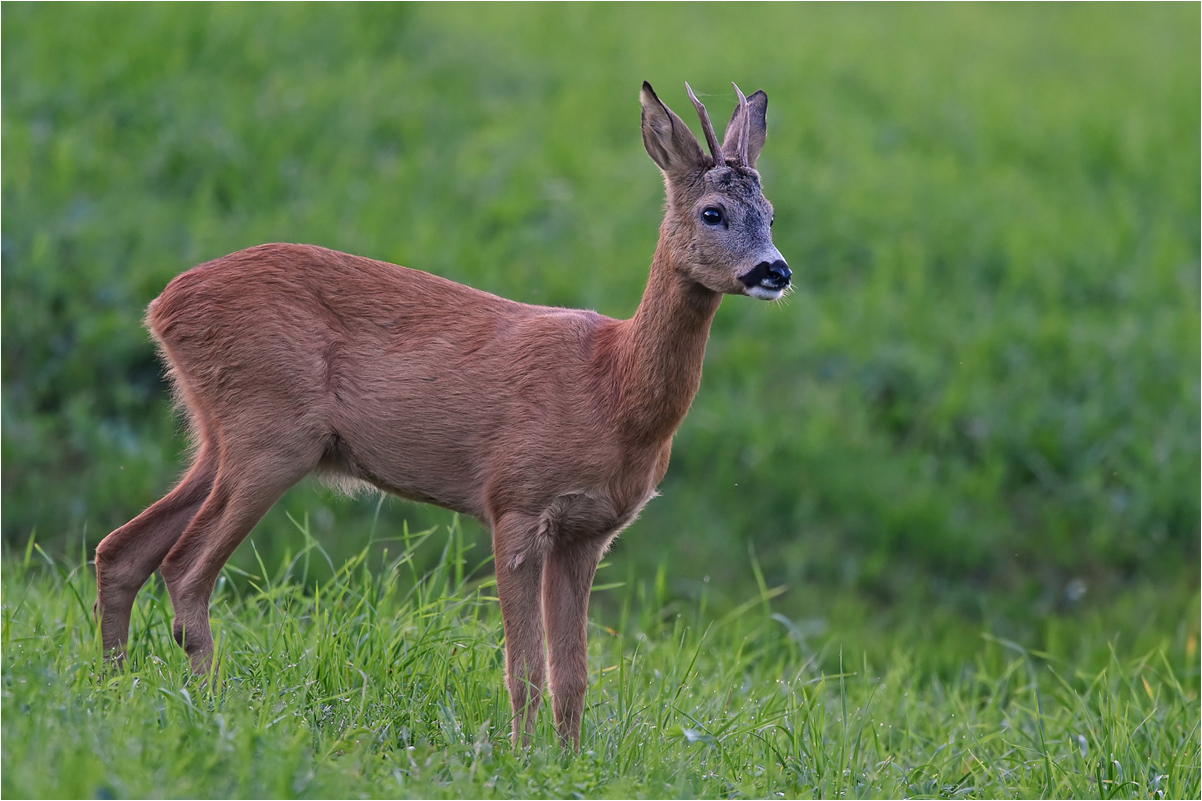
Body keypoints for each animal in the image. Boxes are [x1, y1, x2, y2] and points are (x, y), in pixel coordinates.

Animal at [96, 78, 788, 745]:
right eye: (713, 212)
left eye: (773, 214)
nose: (775, 271)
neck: (614, 392)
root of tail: (162, 305)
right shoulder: (515, 500)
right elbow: (524, 666)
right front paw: (522, 758)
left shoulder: (589, 531)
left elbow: (574, 675)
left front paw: (568, 761)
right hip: (270, 432)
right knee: (184, 568)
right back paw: (209, 702)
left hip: (220, 435)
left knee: (121, 549)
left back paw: (114, 685)